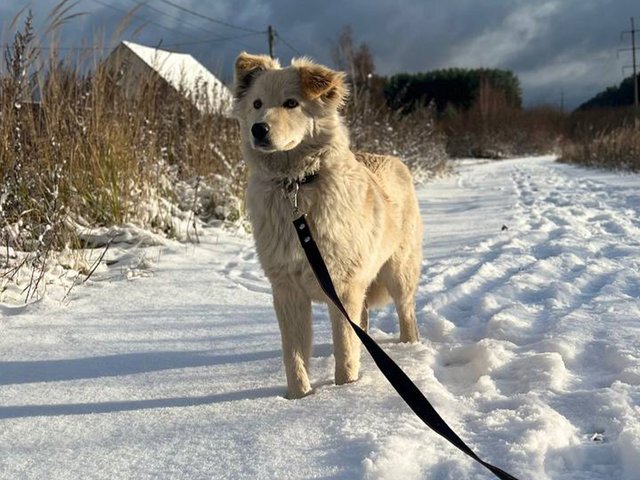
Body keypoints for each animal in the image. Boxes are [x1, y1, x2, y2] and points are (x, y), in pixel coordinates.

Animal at [232, 52, 422, 400]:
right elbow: (293, 354)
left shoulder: (343, 286)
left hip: (398, 272)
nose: (258, 129)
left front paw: (345, 390)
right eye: (256, 103)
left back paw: (409, 348)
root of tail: (393, 159)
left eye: (291, 103)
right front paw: (299, 398)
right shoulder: (287, 289)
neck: (296, 185)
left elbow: (345, 348)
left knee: (406, 313)